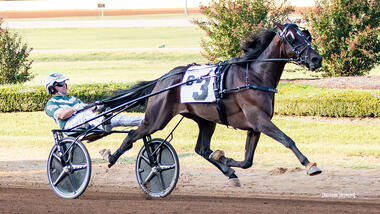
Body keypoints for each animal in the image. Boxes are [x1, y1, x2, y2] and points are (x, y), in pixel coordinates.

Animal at [102, 22, 322, 185]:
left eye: (307, 36)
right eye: (292, 38)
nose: (316, 59)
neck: (255, 76)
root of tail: (164, 78)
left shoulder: (255, 126)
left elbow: (247, 161)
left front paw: (225, 160)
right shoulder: (259, 120)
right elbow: (287, 140)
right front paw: (310, 165)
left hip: (205, 120)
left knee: (201, 149)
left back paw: (227, 170)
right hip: (157, 118)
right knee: (133, 134)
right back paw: (111, 157)